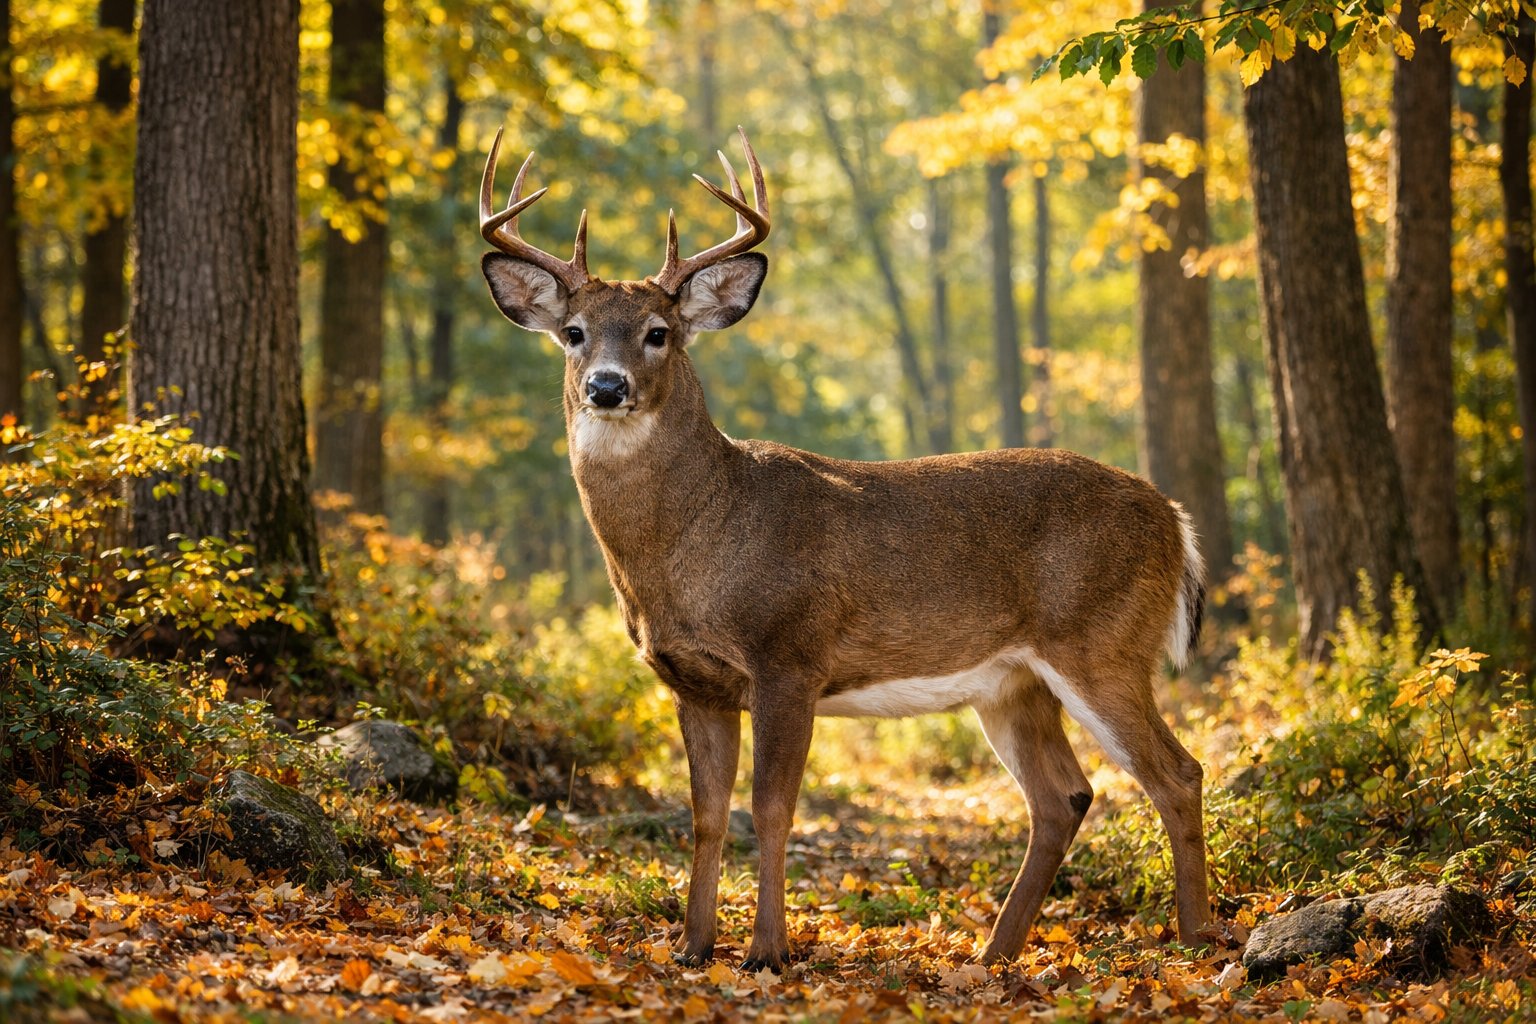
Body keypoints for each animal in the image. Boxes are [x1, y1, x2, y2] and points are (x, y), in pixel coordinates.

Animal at [477, 126, 1212, 972]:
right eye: (573, 333)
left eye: (657, 334)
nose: (605, 385)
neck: (698, 542)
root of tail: (1176, 519)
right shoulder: (693, 682)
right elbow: (705, 815)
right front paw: (693, 947)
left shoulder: (789, 655)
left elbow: (770, 809)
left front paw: (767, 951)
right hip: (1012, 683)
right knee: (1063, 797)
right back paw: (993, 955)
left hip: (1102, 642)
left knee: (1177, 773)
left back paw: (1197, 941)